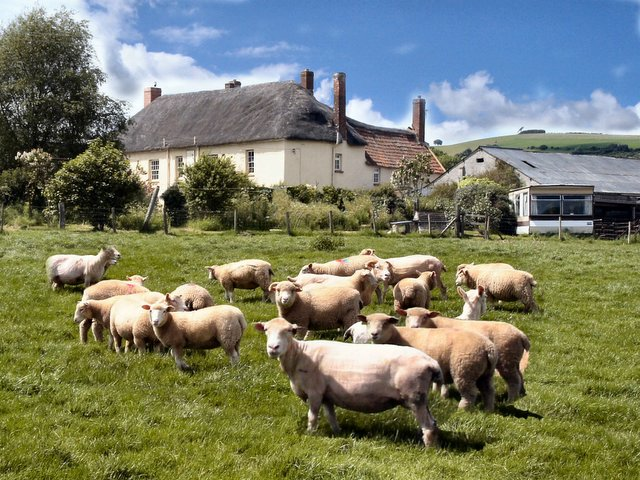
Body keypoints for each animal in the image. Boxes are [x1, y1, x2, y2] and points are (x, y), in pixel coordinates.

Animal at [254, 316, 440, 448]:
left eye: (289, 331)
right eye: (266, 330)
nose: (273, 348)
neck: (299, 355)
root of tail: (430, 362)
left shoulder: (315, 392)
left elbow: (312, 416)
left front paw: (310, 434)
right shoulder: (327, 395)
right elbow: (331, 416)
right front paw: (338, 433)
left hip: (414, 397)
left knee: (428, 426)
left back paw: (429, 449)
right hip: (421, 398)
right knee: (433, 422)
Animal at [362, 312, 498, 412]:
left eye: (385, 323)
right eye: (367, 322)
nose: (374, 334)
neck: (395, 336)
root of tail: (488, 348)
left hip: (464, 370)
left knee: (470, 393)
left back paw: (462, 410)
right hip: (485, 372)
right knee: (488, 390)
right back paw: (488, 410)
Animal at [402, 306, 532, 404]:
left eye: (425, 317)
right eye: (407, 316)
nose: (414, 327)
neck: (434, 324)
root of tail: (521, 334)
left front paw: (443, 395)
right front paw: (436, 392)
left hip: (506, 360)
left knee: (513, 380)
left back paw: (511, 400)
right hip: (513, 359)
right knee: (519, 376)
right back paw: (521, 394)